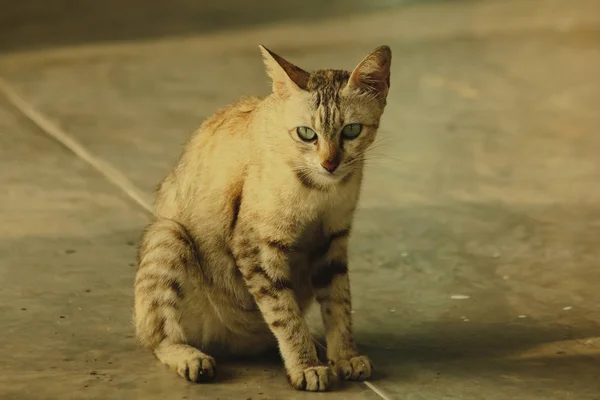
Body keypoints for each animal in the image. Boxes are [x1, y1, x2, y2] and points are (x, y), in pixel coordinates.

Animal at [134, 44, 392, 390]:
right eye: (306, 133)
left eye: (351, 130)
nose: (330, 164)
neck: (321, 192)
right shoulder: (256, 245)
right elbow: (284, 312)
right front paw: (306, 366)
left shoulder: (332, 241)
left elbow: (339, 304)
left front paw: (345, 357)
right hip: (168, 236)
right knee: (157, 337)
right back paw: (191, 358)